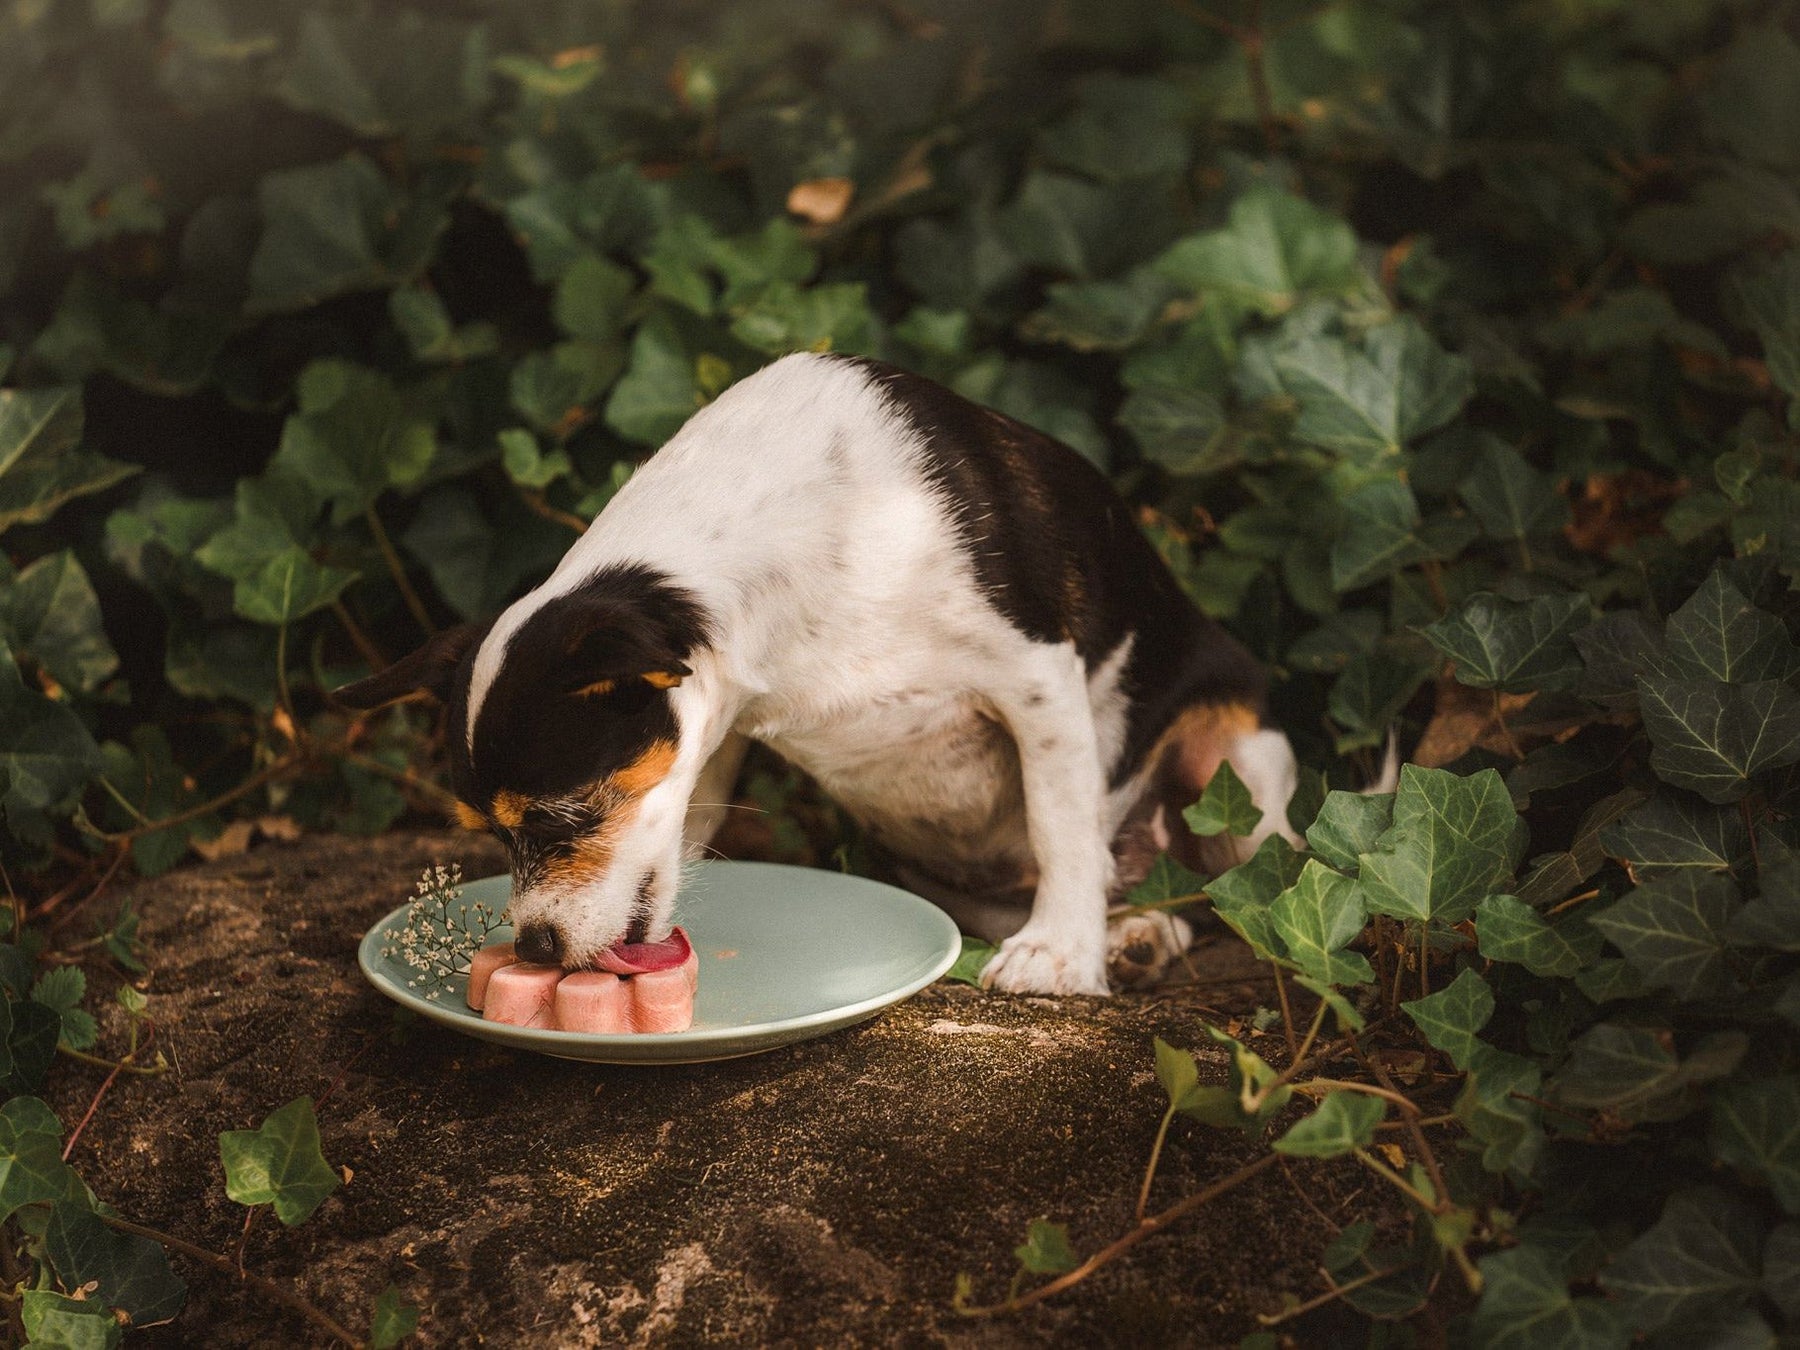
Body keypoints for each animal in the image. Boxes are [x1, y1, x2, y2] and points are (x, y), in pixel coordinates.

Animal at [331, 354, 1303, 1000]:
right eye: (488, 836)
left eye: (565, 818)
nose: (532, 948)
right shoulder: (714, 736)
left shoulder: (1037, 673)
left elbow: (1061, 824)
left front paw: (1058, 956)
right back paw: (1137, 932)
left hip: (1240, 768)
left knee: (1244, 885)